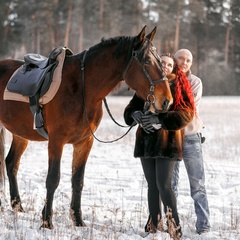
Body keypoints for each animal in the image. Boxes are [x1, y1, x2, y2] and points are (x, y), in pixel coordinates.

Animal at [0, 26, 172, 229]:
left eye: (160, 60)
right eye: (146, 61)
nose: (166, 101)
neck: (81, 88)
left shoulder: (84, 142)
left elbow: (77, 180)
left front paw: (78, 219)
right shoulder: (56, 141)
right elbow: (53, 179)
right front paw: (47, 222)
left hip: (21, 134)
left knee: (11, 164)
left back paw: (17, 206)